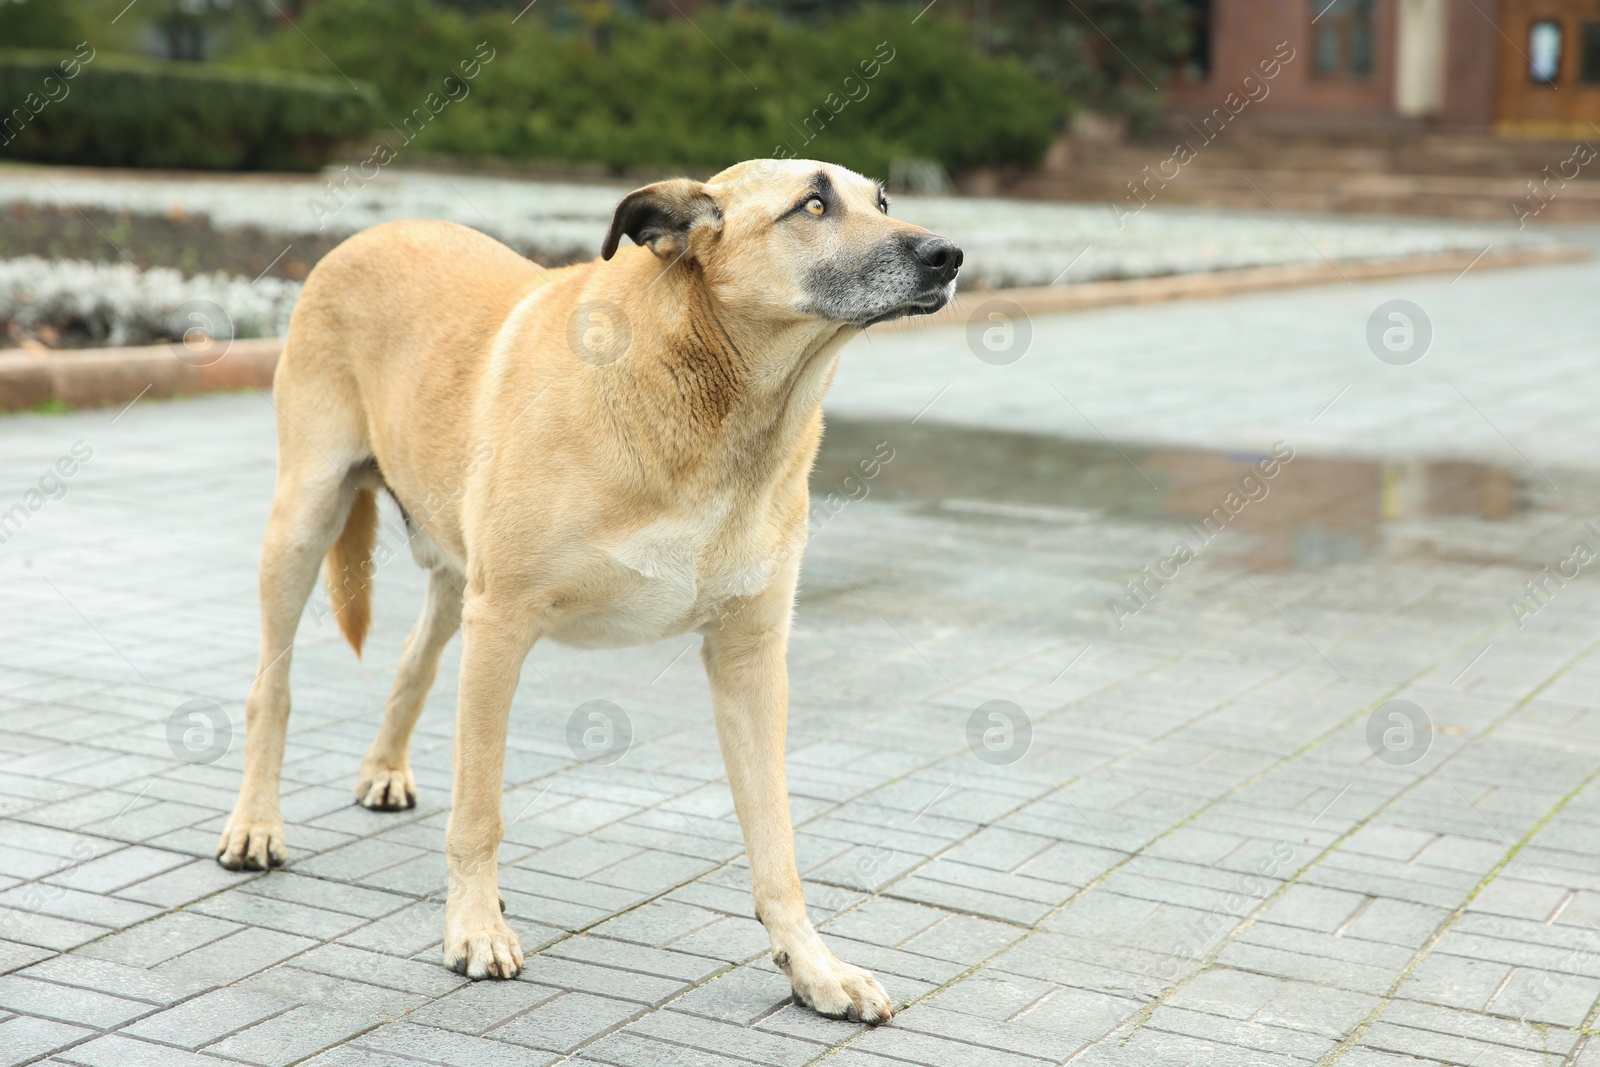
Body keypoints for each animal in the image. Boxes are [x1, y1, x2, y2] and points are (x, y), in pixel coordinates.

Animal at [212, 160, 960, 1023]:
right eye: (813, 204)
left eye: (883, 201)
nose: (949, 255)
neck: (719, 411)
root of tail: (376, 229)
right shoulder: (502, 623)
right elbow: (479, 809)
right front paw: (475, 927)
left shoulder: (751, 657)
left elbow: (777, 841)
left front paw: (813, 965)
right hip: (305, 520)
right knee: (272, 689)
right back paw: (256, 823)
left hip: (453, 573)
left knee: (413, 655)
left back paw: (384, 768)